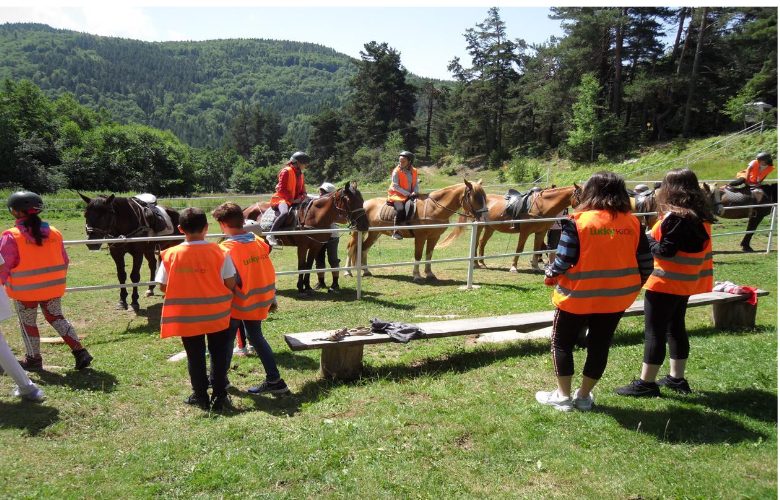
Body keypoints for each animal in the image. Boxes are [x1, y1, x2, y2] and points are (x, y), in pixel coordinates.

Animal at [344, 179, 484, 282]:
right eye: (475, 197)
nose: (483, 216)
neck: (434, 208)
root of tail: (364, 204)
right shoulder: (420, 237)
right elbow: (418, 255)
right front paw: (416, 275)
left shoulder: (434, 237)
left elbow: (429, 255)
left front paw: (429, 273)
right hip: (358, 232)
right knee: (351, 248)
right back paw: (347, 271)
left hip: (375, 233)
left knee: (364, 248)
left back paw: (366, 270)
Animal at [438, 186, 580, 274]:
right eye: (581, 196)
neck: (541, 205)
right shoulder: (525, 232)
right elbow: (519, 249)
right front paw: (513, 267)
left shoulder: (541, 232)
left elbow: (537, 249)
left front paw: (535, 267)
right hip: (479, 227)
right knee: (477, 243)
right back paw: (476, 264)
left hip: (490, 228)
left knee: (482, 243)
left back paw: (482, 263)